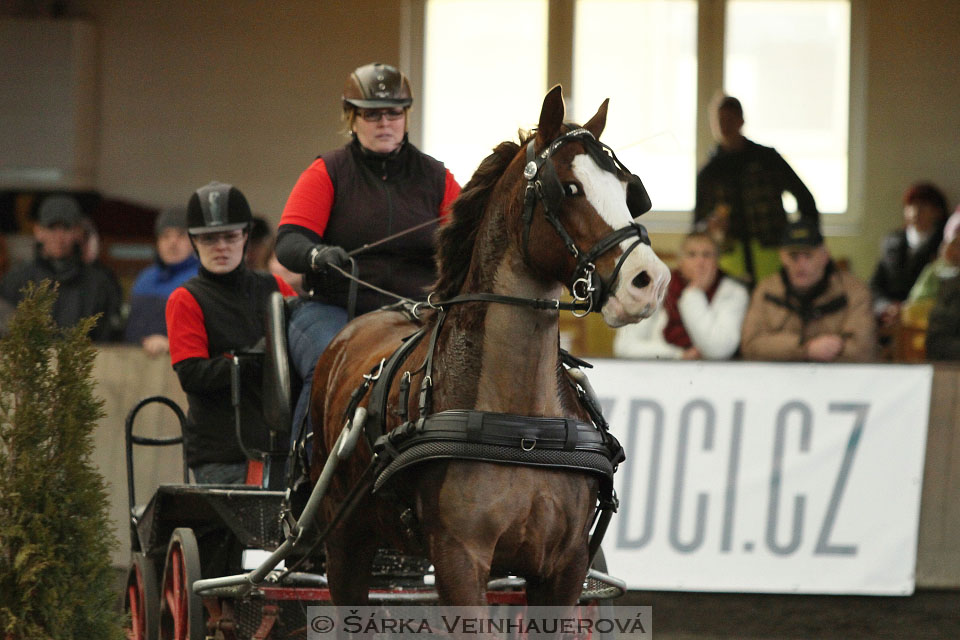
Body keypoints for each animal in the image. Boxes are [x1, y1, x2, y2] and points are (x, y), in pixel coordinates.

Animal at [308, 89, 668, 604]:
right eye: (569, 189)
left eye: (627, 190)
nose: (650, 281)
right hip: (343, 541)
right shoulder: (459, 557)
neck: (524, 430)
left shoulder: (566, 566)